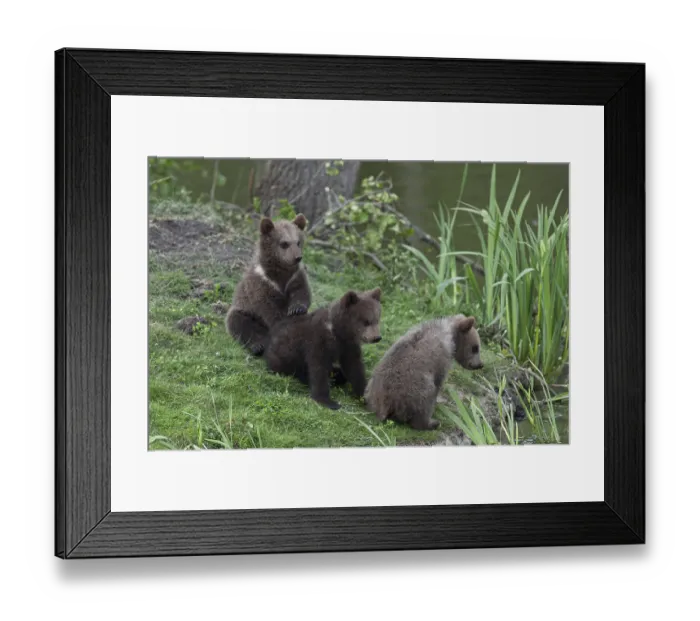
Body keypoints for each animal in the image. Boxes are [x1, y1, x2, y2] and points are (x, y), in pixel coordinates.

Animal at [226, 213, 311, 356]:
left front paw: (296, 309)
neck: (280, 273)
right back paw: (257, 345)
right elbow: (268, 308)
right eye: (284, 243)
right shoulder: (261, 283)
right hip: (245, 312)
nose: (298, 257)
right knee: (239, 322)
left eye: (298, 242)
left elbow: (301, 292)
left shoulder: (295, 277)